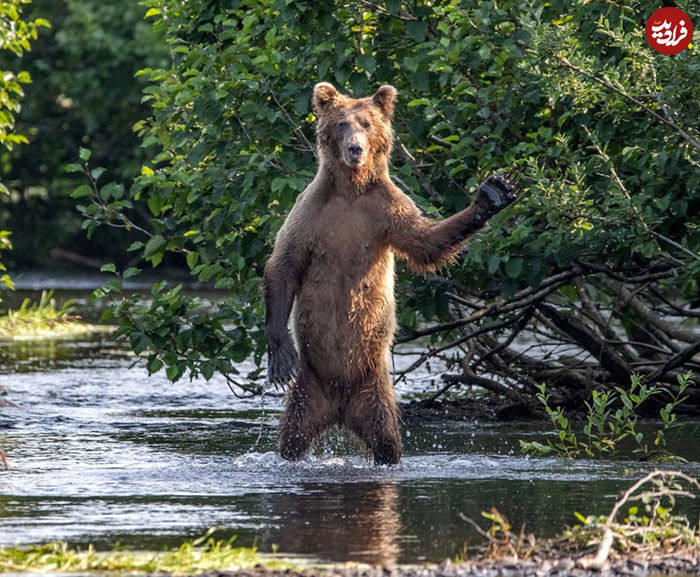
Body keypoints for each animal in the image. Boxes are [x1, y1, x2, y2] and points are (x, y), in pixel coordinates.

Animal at [262, 83, 516, 466]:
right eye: (341, 123)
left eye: (367, 123)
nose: (355, 148)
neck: (351, 190)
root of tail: (339, 407)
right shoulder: (311, 213)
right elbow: (284, 264)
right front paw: (280, 357)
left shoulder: (386, 210)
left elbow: (425, 242)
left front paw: (492, 194)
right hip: (310, 385)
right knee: (293, 435)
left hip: (374, 387)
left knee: (386, 438)